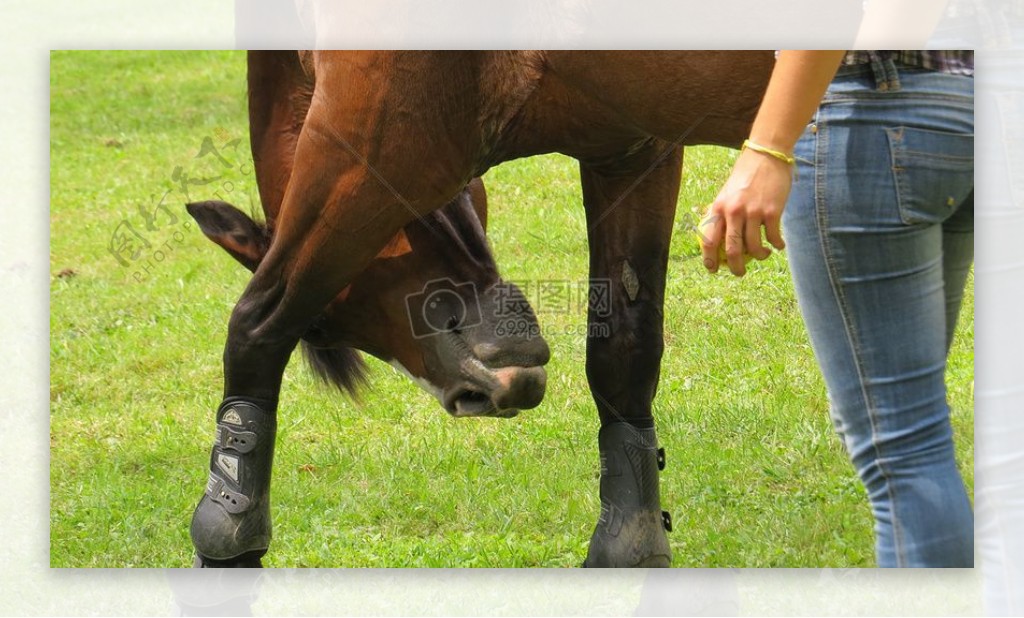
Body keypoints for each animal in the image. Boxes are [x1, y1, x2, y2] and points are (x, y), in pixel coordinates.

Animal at [192, 50, 770, 568]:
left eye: (320, 327)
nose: (482, 393)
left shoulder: (362, 149)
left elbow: (255, 326)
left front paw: (227, 537)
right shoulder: (633, 149)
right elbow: (625, 358)